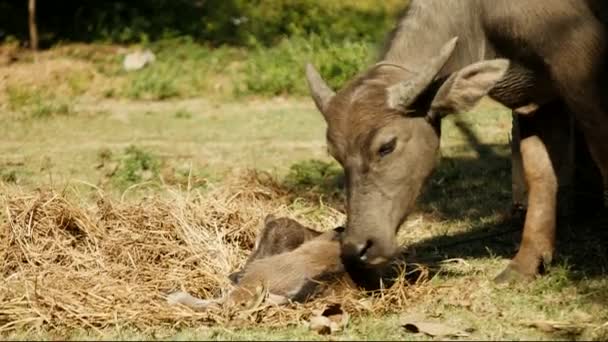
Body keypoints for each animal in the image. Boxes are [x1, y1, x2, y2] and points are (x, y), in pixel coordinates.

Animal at [308, 0, 608, 284]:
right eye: (336, 154)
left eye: (387, 146)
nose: (356, 249)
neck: (478, 14)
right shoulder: (535, 102)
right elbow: (540, 175)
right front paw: (525, 265)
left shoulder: (581, 68)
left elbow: (602, 150)